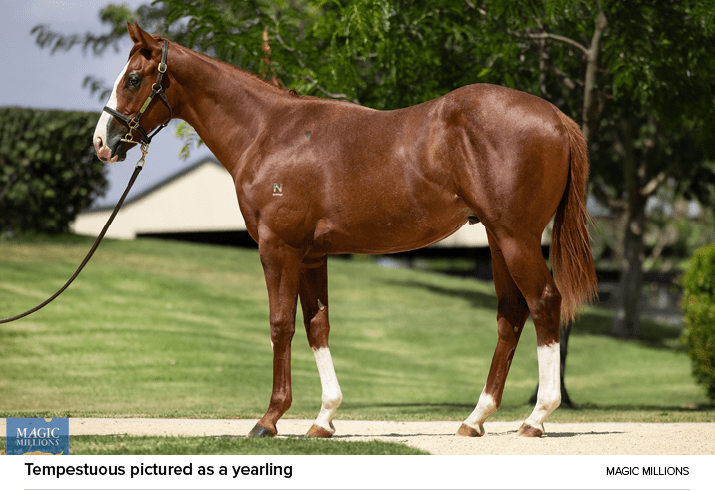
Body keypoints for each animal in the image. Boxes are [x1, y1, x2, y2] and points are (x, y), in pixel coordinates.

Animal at [95, 23, 600, 438]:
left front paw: (269, 420)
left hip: (516, 238)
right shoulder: (311, 256)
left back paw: (536, 418)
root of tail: (557, 117)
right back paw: (475, 420)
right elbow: (317, 326)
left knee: (544, 303)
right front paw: (323, 419)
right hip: (497, 239)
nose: (102, 142)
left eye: (134, 78)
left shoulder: (278, 249)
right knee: (510, 315)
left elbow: (280, 324)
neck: (268, 132)